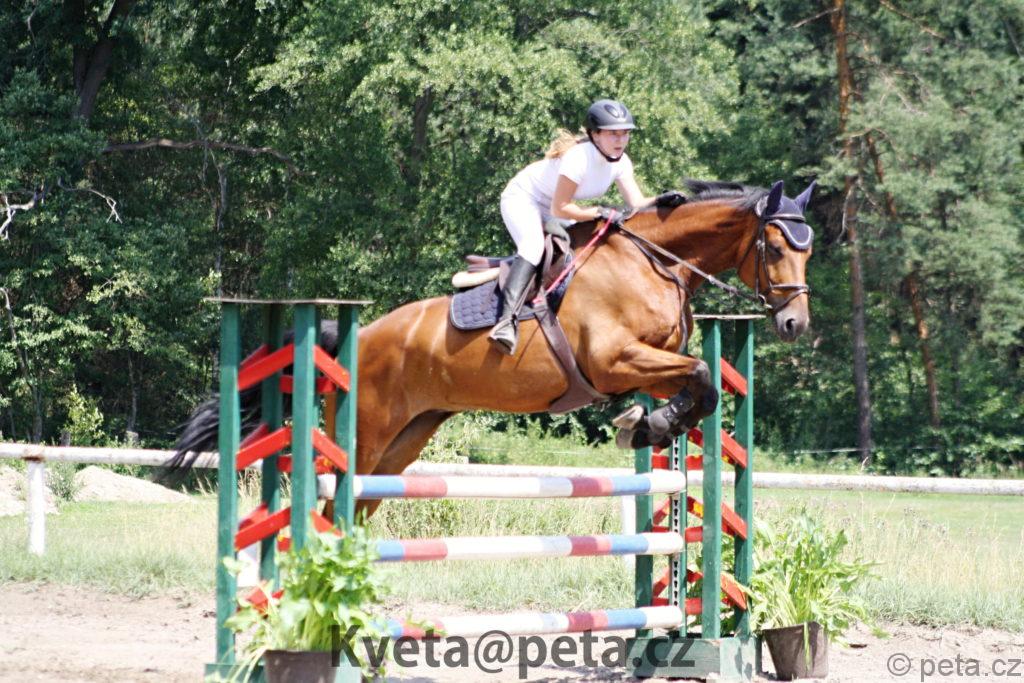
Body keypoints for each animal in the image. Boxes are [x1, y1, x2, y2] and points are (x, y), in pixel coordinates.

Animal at [169, 179, 815, 518]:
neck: (652, 261)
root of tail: (362, 335)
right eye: (778, 247)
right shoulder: (612, 360)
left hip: (405, 442)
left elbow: (699, 386)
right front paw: (646, 424)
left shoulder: (647, 364)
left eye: (811, 248)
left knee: (356, 509)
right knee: (332, 505)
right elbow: (703, 372)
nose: (794, 324)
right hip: (367, 435)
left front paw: (647, 424)